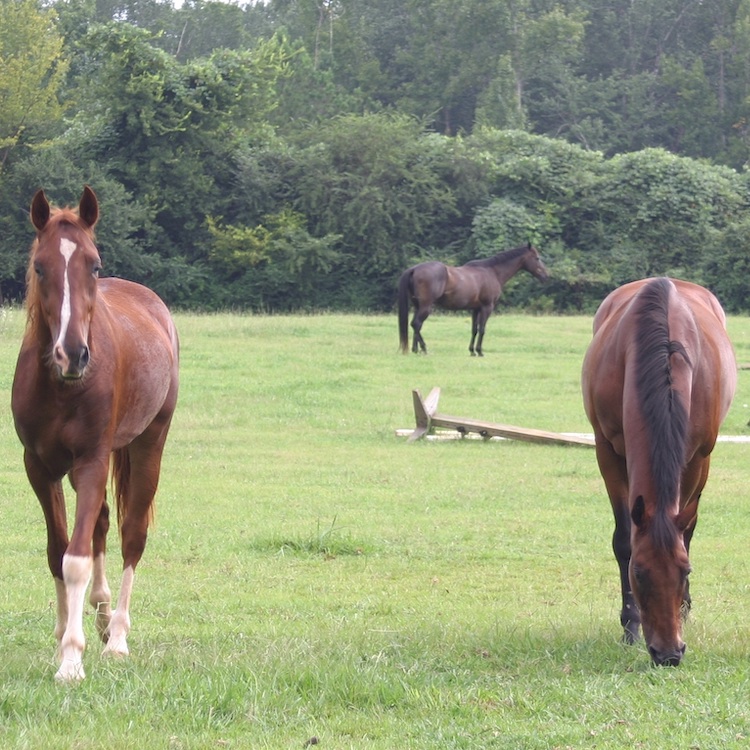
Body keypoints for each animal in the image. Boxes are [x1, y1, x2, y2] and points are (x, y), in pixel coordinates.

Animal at [11, 188, 179, 680]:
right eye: (40, 266)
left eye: (94, 264)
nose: (72, 354)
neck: (61, 386)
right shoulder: (39, 466)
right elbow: (57, 551)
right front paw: (62, 638)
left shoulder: (90, 461)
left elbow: (76, 558)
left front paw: (71, 658)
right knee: (103, 522)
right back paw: (102, 618)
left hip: (149, 442)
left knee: (131, 534)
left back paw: (117, 636)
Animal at [396, 242, 548, 356]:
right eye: (537, 258)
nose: (546, 276)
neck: (492, 272)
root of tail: (414, 269)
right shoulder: (487, 307)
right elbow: (482, 329)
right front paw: (480, 351)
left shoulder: (476, 309)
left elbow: (474, 329)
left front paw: (472, 351)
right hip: (426, 307)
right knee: (416, 324)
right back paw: (424, 348)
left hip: (418, 306)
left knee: (416, 325)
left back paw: (415, 350)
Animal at [584, 280, 736, 668]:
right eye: (639, 572)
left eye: (686, 571)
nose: (668, 654)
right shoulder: (607, 450)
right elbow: (623, 540)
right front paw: (630, 627)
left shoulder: (697, 456)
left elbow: (687, 533)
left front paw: (683, 609)